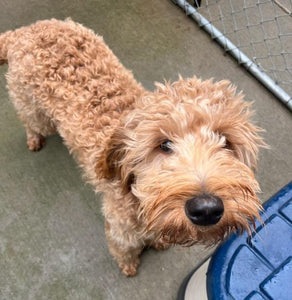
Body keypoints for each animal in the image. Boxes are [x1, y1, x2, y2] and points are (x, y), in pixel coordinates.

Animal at [0, 19, 264, 276]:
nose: (207, 209)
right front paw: (128, 266)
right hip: (34, 111)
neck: (137, 197)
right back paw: (34, 139)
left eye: (225, 141)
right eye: (163, 144)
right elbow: (124, 250)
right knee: (31, 123)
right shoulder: (120, 230)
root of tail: (24, 31)